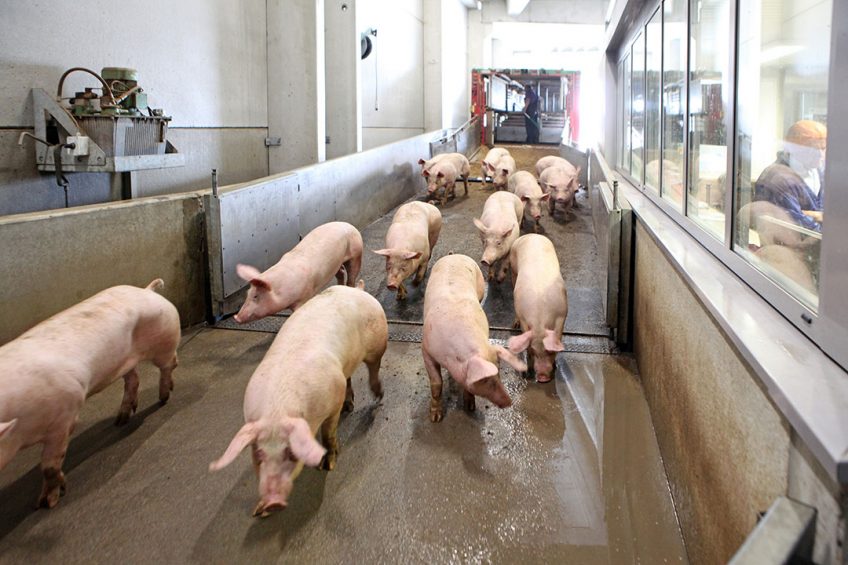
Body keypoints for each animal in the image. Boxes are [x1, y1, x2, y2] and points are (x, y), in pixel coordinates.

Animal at [0, 280, 179, 508]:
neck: (21, 433)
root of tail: (147, 290)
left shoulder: (64, 417)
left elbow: (49, 466)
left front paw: (47, 503)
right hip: (125, 361)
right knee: (133, 379)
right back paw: (120, 420)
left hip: (165, 338)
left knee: (169, 364)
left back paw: (164, 398)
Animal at [210, 284, 390, 516]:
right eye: (258, 454)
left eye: (292, 453)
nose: (273, 502)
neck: (278, 410)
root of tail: (356, 289)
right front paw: (258, 511)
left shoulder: (333, 398)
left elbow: (329, 434)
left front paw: (327, 465)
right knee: (349, 377)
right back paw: (349, 406)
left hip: (378, 342)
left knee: (374, 368)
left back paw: (376, 396)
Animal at [234, 223, 362, 324]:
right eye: (248, 294)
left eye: (256, 296)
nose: (236, 317)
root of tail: (349, 225)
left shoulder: (305, 295)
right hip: (337, 263)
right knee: (341, 272)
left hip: (356, 253)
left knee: (351, 276)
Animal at [420, 253, 528, 420]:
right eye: (484, 380)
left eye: (498, 372)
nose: (509, 402)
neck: (452, 357)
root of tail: (455, 255)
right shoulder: (426, 350)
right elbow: (436, 384)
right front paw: (435, 418)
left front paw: (470, 408)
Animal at [506, 234, 568, 384]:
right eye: (534, 351)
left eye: (550, 351)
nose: (542, 377)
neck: (540, 317)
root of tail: (531, 235)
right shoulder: (523, 317)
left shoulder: (562, 314)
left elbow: (558, 335)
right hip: (513, 267)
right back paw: (514, 324)